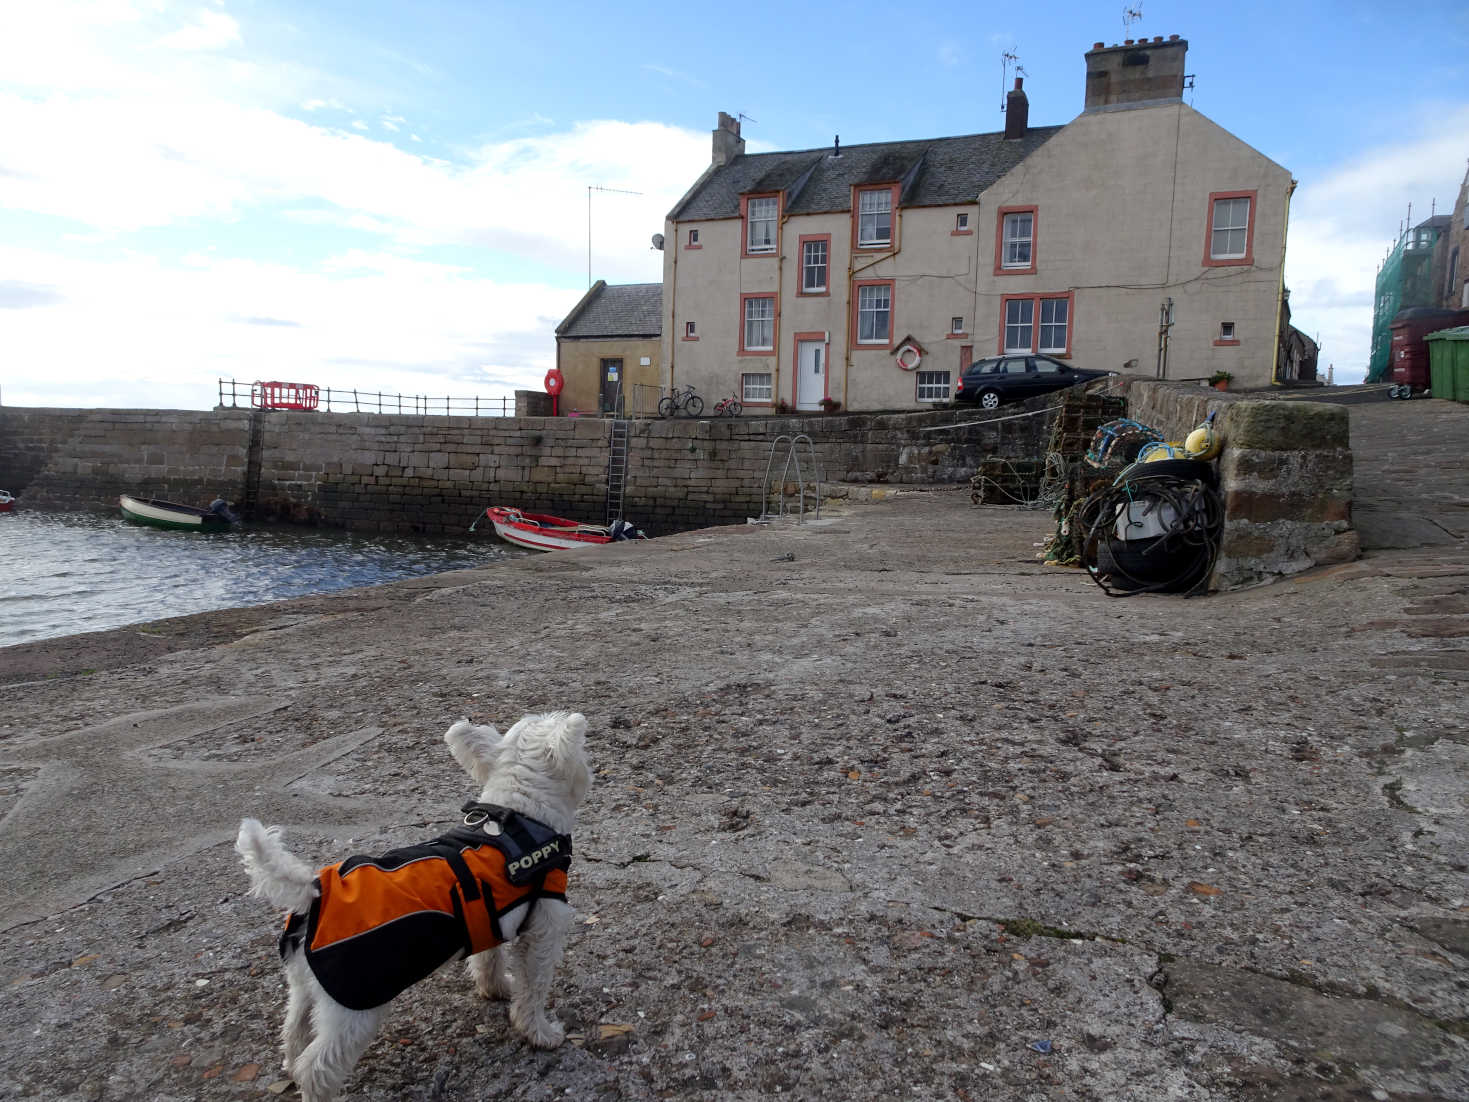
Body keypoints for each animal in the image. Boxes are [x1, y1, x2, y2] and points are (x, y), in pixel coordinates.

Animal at [235, 717, 590, 1102]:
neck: (519, 816)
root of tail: (313, 893)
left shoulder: (486, 918)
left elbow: (488, 961)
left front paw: (496, 990)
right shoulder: (544, 931)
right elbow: (534, 988)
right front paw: (541, 1033)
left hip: (306, 989)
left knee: (294, 1034)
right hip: (355, 1008)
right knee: (315, 1069)